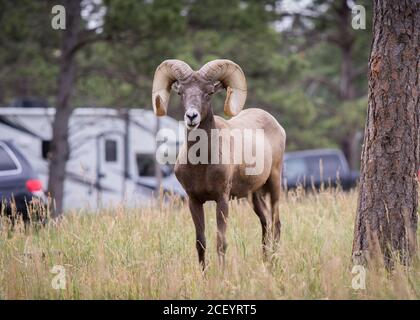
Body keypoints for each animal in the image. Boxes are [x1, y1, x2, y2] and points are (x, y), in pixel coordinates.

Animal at [153, 58, 288, 268]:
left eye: (208, 93)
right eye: (181, 93)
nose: (191, 116)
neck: (202, 165)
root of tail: (275, 124)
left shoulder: (222, 199)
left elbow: (220, 242)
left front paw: (222, 272)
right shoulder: (194, 200)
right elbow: (200, 242)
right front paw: (204, 273)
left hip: (274, 182)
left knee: (276, 223)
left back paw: (273, 262)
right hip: (253, 195)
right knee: (265, 222)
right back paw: (265, 262)